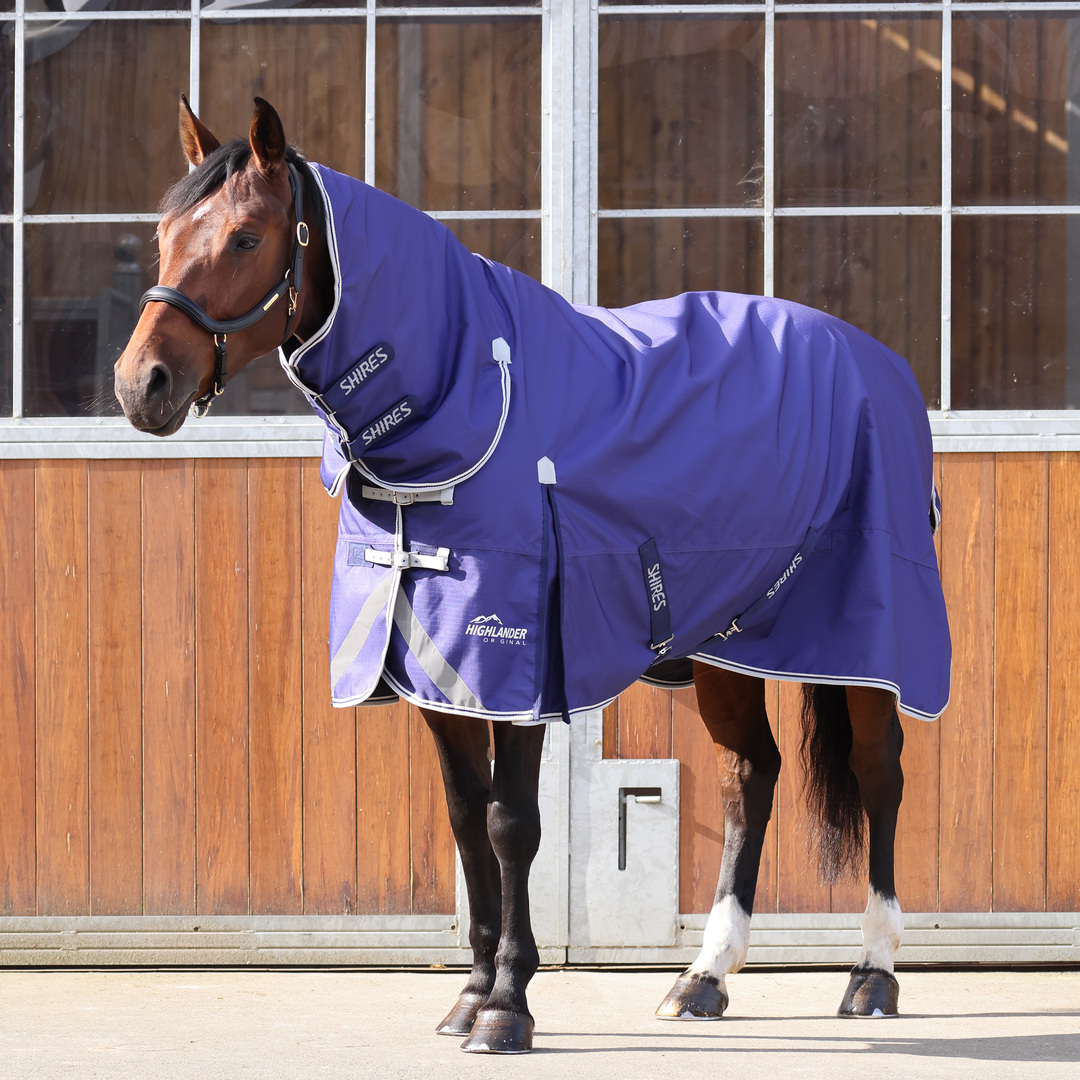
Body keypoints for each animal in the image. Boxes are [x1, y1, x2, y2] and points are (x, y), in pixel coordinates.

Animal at [114, 97, 951, 1054]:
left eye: (247, 237)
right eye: (165, 235)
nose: (141, 385)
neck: (462, 404)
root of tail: (877, 362)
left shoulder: (519, 667)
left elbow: (512, 825)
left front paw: (508, 1004)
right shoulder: (437, 673)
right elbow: (464, 819)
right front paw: (469, 993)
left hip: (869, 645)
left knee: (880, 775)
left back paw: (872, 974)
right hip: (729, 649)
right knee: (750, 779)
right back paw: (703, 978)